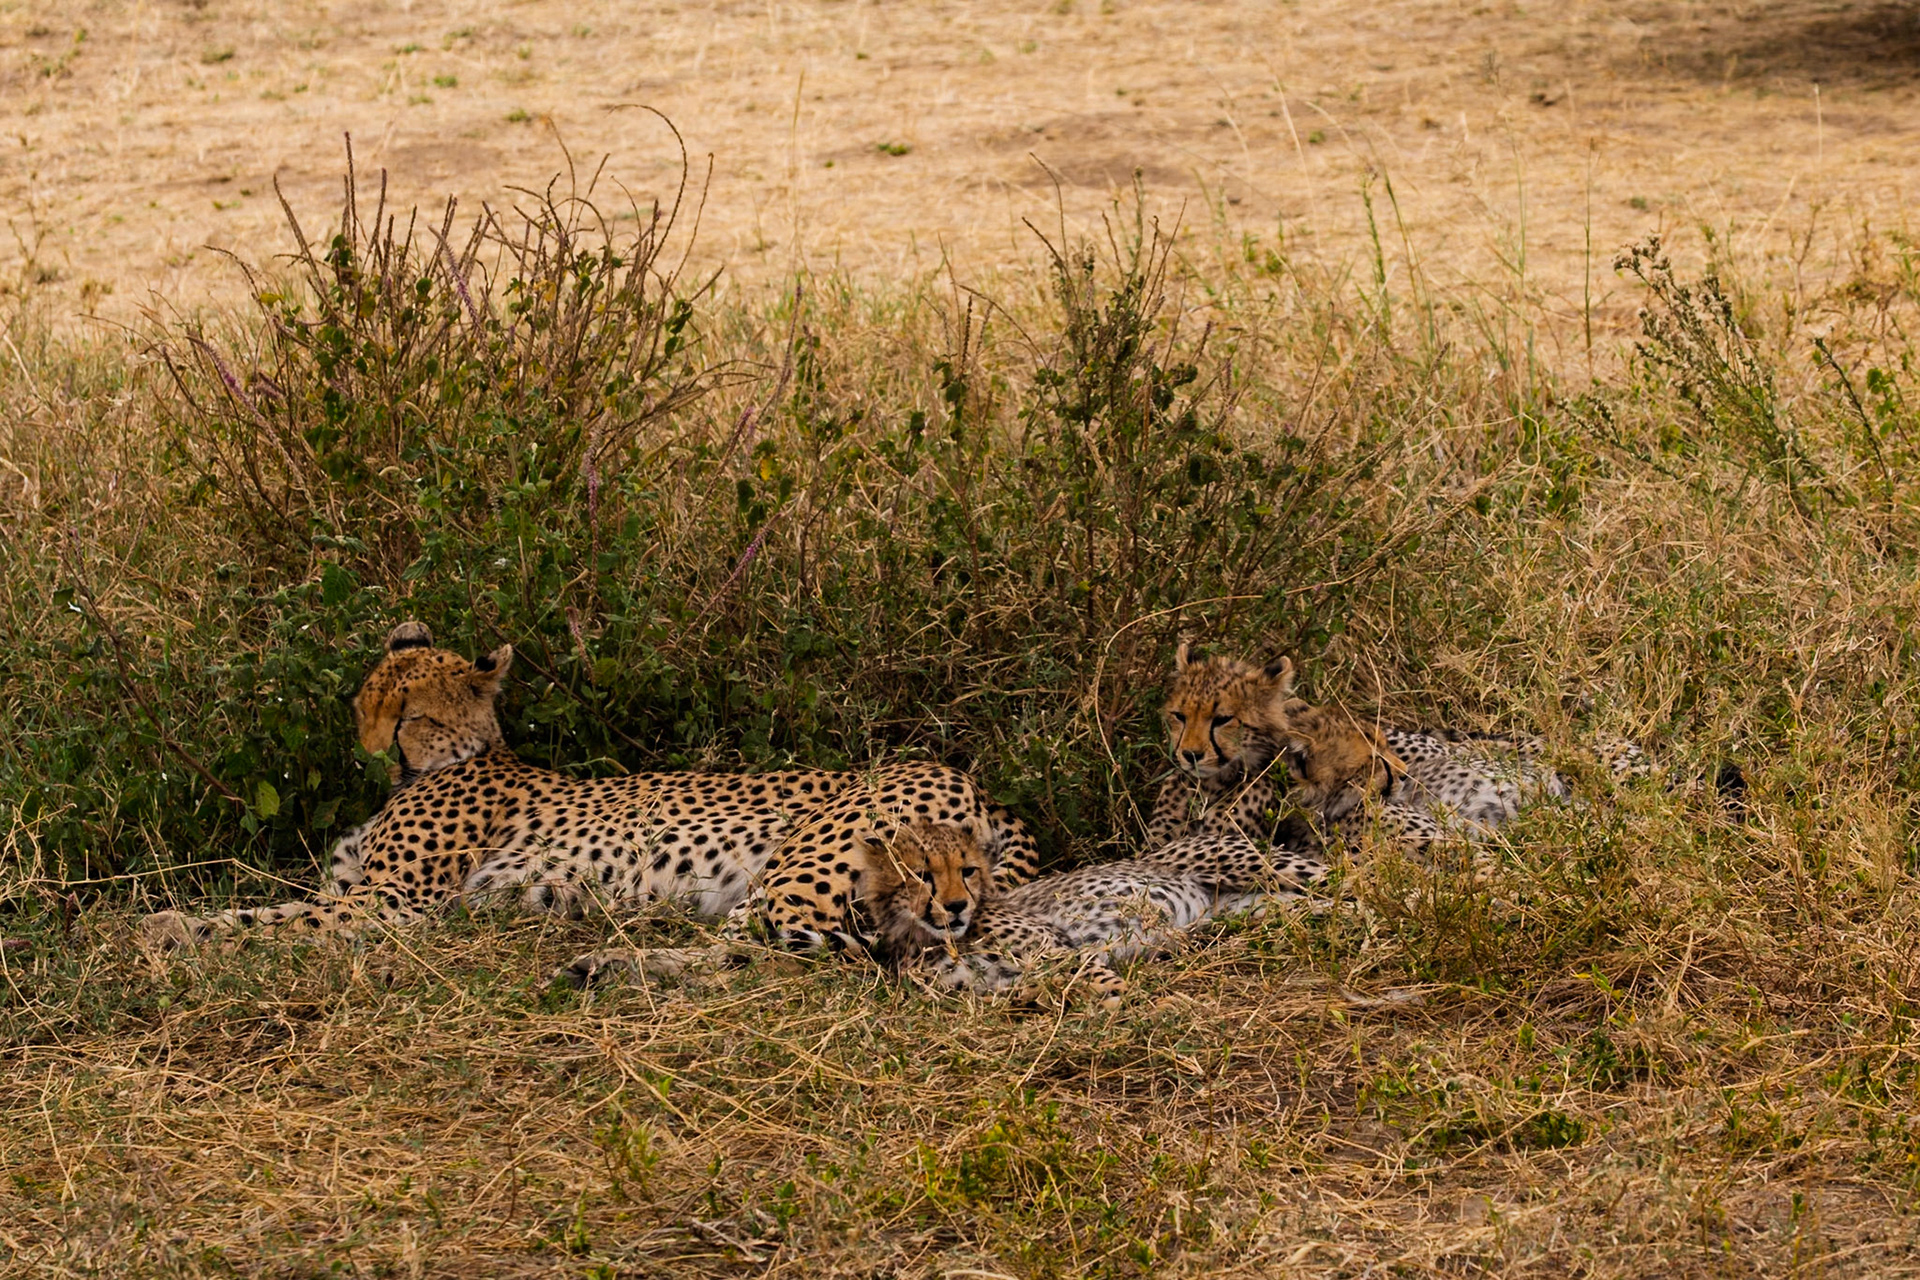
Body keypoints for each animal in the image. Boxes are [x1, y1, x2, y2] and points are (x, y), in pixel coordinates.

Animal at [141, 623, 1039, 952]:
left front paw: (165, 933)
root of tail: (958, 773)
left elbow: (265, 921)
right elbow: (276, 908)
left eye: (406, 717)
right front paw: (163, 925)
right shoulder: (357, 891)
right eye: (367, 702)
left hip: (801, 875)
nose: (368, 757)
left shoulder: (392, 907)